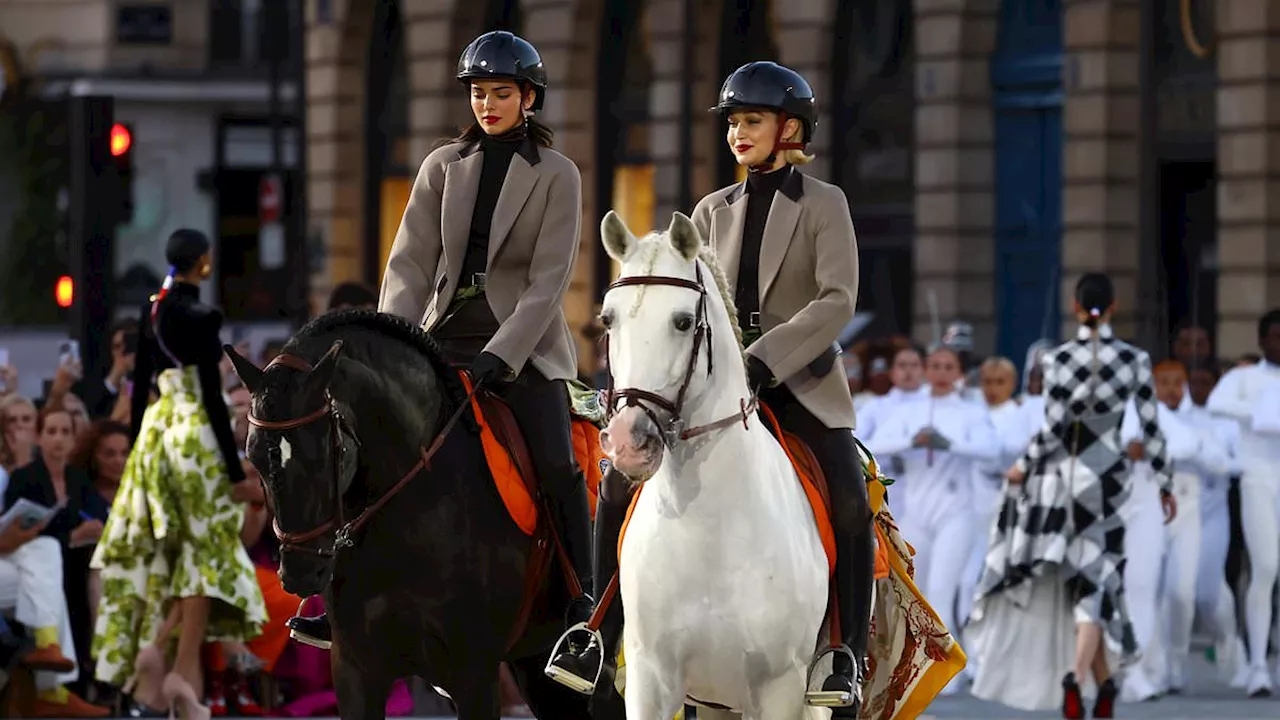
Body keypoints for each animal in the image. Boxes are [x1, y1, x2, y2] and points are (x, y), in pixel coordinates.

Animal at [596, 208, 829, 717]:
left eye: (684, 322)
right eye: (608, 320)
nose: (628, 442)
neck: (706, 529)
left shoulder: (781, 686)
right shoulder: (650, 677)